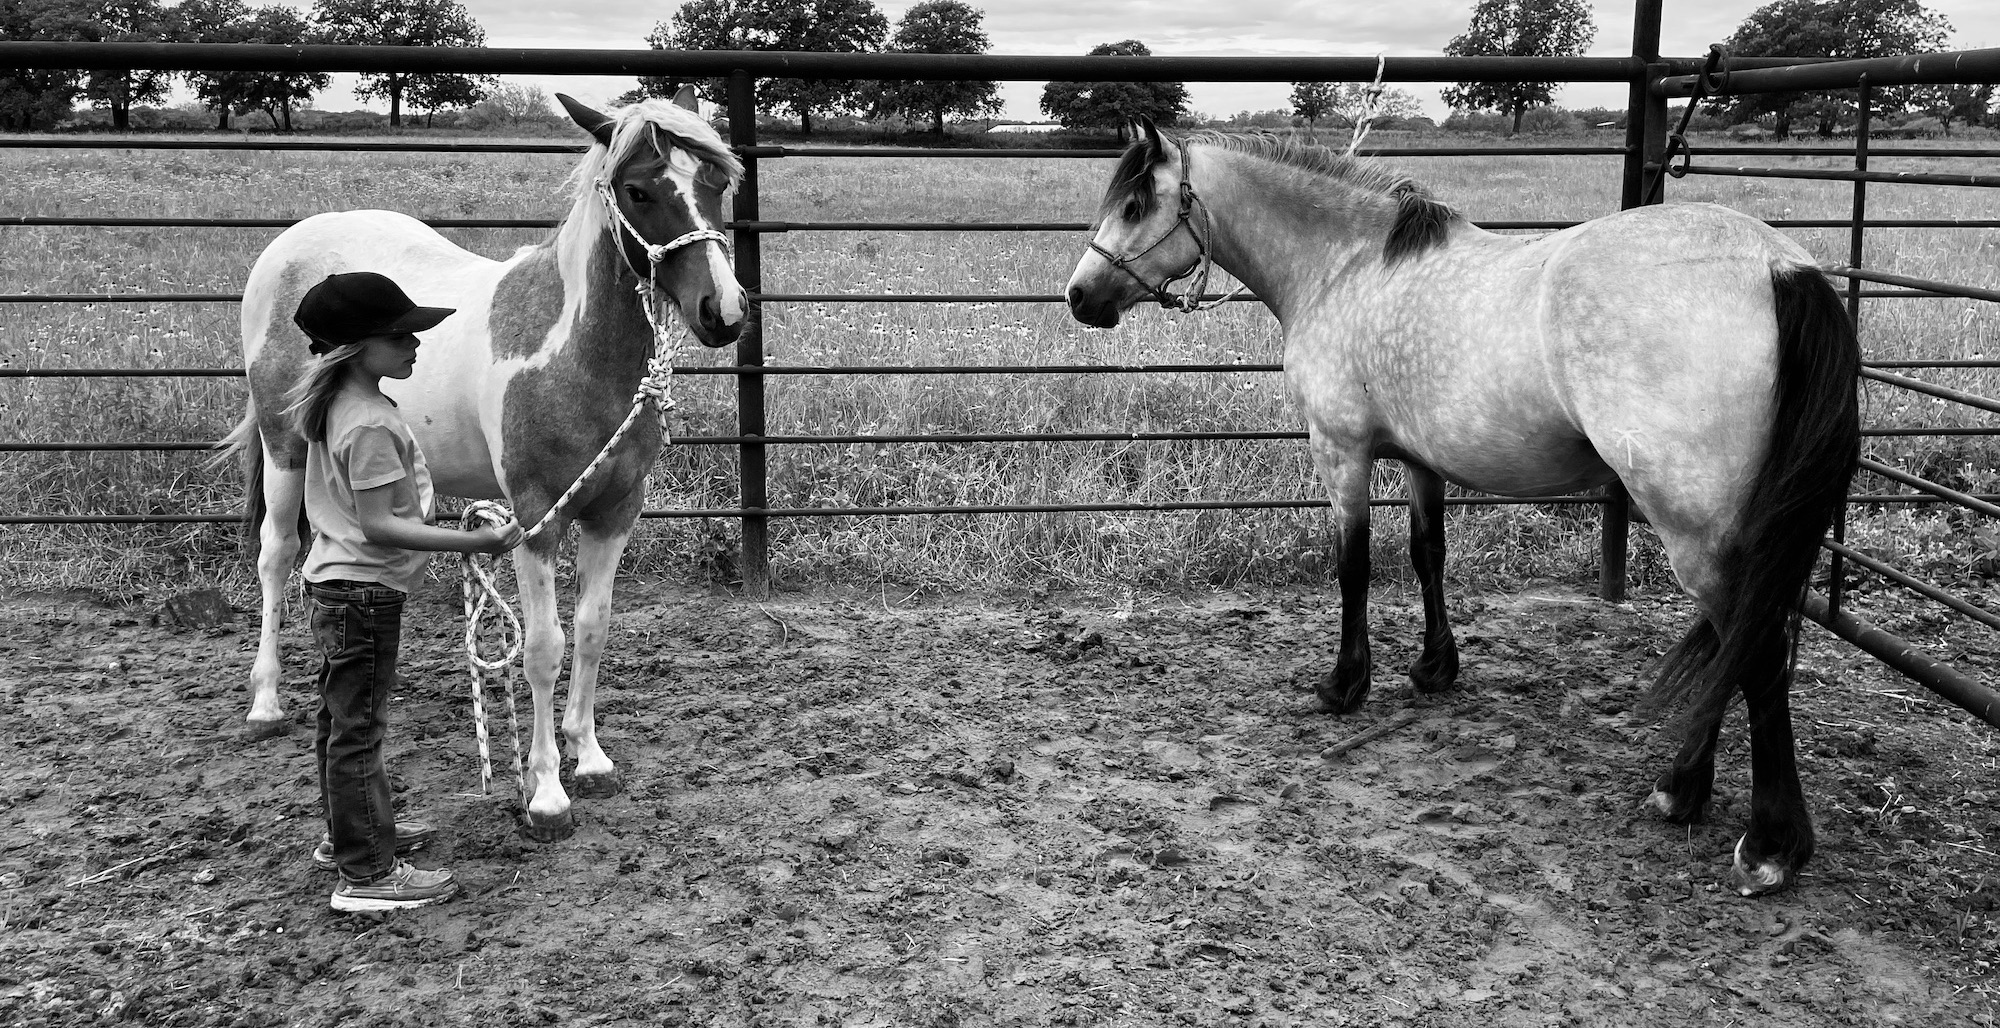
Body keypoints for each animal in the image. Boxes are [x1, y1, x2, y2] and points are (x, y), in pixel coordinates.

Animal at [219, 88, 745, 841]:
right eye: (639, 190)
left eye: (717, 182)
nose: (723, 311)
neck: (570, 352)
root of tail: (288, 247)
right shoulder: (534, 518)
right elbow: (544, 647)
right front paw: (546, 791)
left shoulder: (614, 511)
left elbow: (592, 630)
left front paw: (590, 756)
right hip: (283, 444)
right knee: (275, 556)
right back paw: (264, 703)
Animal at [1065, 121, 1859, 896]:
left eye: (1134, 206)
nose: (1079, 297)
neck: (1347, 268)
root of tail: (1779, 267)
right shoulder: (1422, 460)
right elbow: (1427, 555)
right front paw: (1434, 668)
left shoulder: (1341, 452)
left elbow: (1354, 567)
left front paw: (1344, 684)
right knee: (1739, 647)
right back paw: (1684, 792)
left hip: (1694, 528)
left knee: (1755, 651)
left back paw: (1769, 843)